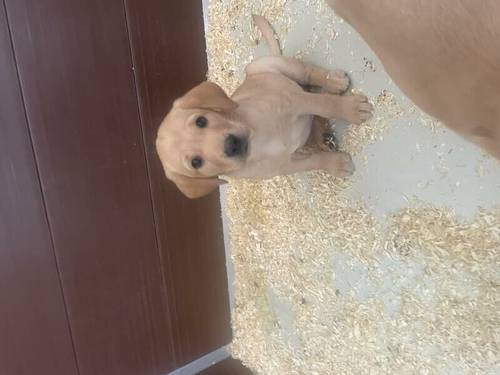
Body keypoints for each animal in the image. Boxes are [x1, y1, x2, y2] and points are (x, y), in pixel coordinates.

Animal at [158, 15, 374, 200]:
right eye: (196, 162)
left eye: (201, 121)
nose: (231, 144)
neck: (258, 141)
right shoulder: (287, 165)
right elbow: (315, 161)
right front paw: (336, 164)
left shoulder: (295, 100)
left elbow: (326, 104)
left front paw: (352, 110)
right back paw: (321, 136)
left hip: (269, 66)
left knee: (309, 75)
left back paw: (334, 81)